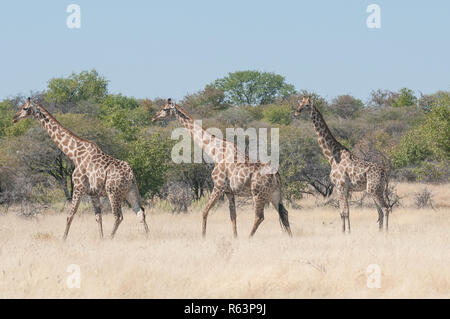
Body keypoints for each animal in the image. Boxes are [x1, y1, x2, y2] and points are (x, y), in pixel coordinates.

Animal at [11, 99, 149, 241]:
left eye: (25, 108)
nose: (14, 118)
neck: (74, 154)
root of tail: (131, 174)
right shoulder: (93, 193)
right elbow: (98, 217)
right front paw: (100, 239)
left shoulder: (78, 187)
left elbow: (70, 215)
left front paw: (63, 239)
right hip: (130, 191)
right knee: (140, 212)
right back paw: (148, 236)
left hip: (113, 192)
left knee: (118, 216)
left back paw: (111, 238)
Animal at [151, 99, 292, 239]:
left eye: (165, 109)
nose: (153, 117)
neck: (215, 152)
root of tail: (276, 175)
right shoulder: (229, 192)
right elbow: (233, 216)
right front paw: (235, 237)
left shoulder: (218, 186)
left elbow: (204, 211)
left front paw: (203, 237)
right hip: (273, 193)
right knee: (284, 212)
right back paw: (290, 237)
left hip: (258, 193)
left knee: (259, 216)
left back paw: (249, 237)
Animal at [296, 96, 390, 234]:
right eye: (300, 103)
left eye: (307, 105)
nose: (297, 111)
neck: (332, 156)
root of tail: (385, 173)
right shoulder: (345, 188)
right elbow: (345, 211)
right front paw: (346, 231)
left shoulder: (339, 186)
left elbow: (343, 212)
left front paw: (345, 232)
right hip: (376, 190)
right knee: (380, 212)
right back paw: (379, 232)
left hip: (374, 189)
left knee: (385, 208)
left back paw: (386, 232)